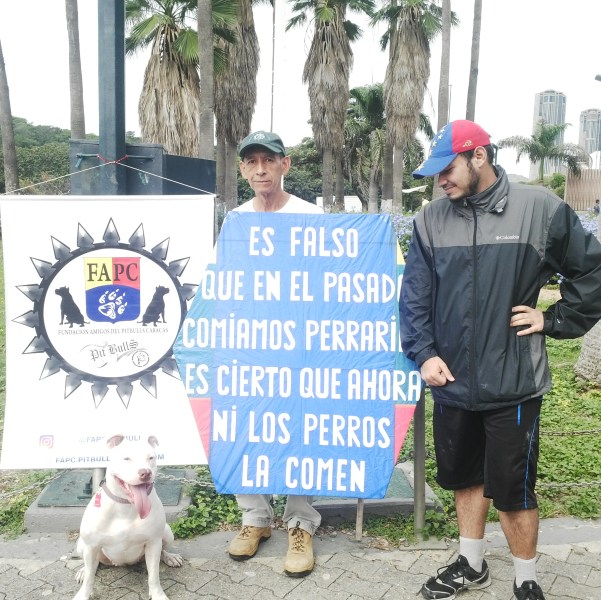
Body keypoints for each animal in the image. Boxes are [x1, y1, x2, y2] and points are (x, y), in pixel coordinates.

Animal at [72, 436, 182, 600]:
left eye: (151, 458)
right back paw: (83, 570)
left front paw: (158, 594)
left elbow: (153, 576)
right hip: (82, 544)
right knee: (90, 564)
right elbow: (89, 579)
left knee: (163, 550)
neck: (126, 506)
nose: (145, 473)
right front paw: (83, 593)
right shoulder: (91, 546)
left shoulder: (153, 542)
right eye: (126, 458)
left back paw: (170, 557)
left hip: (167, 533)